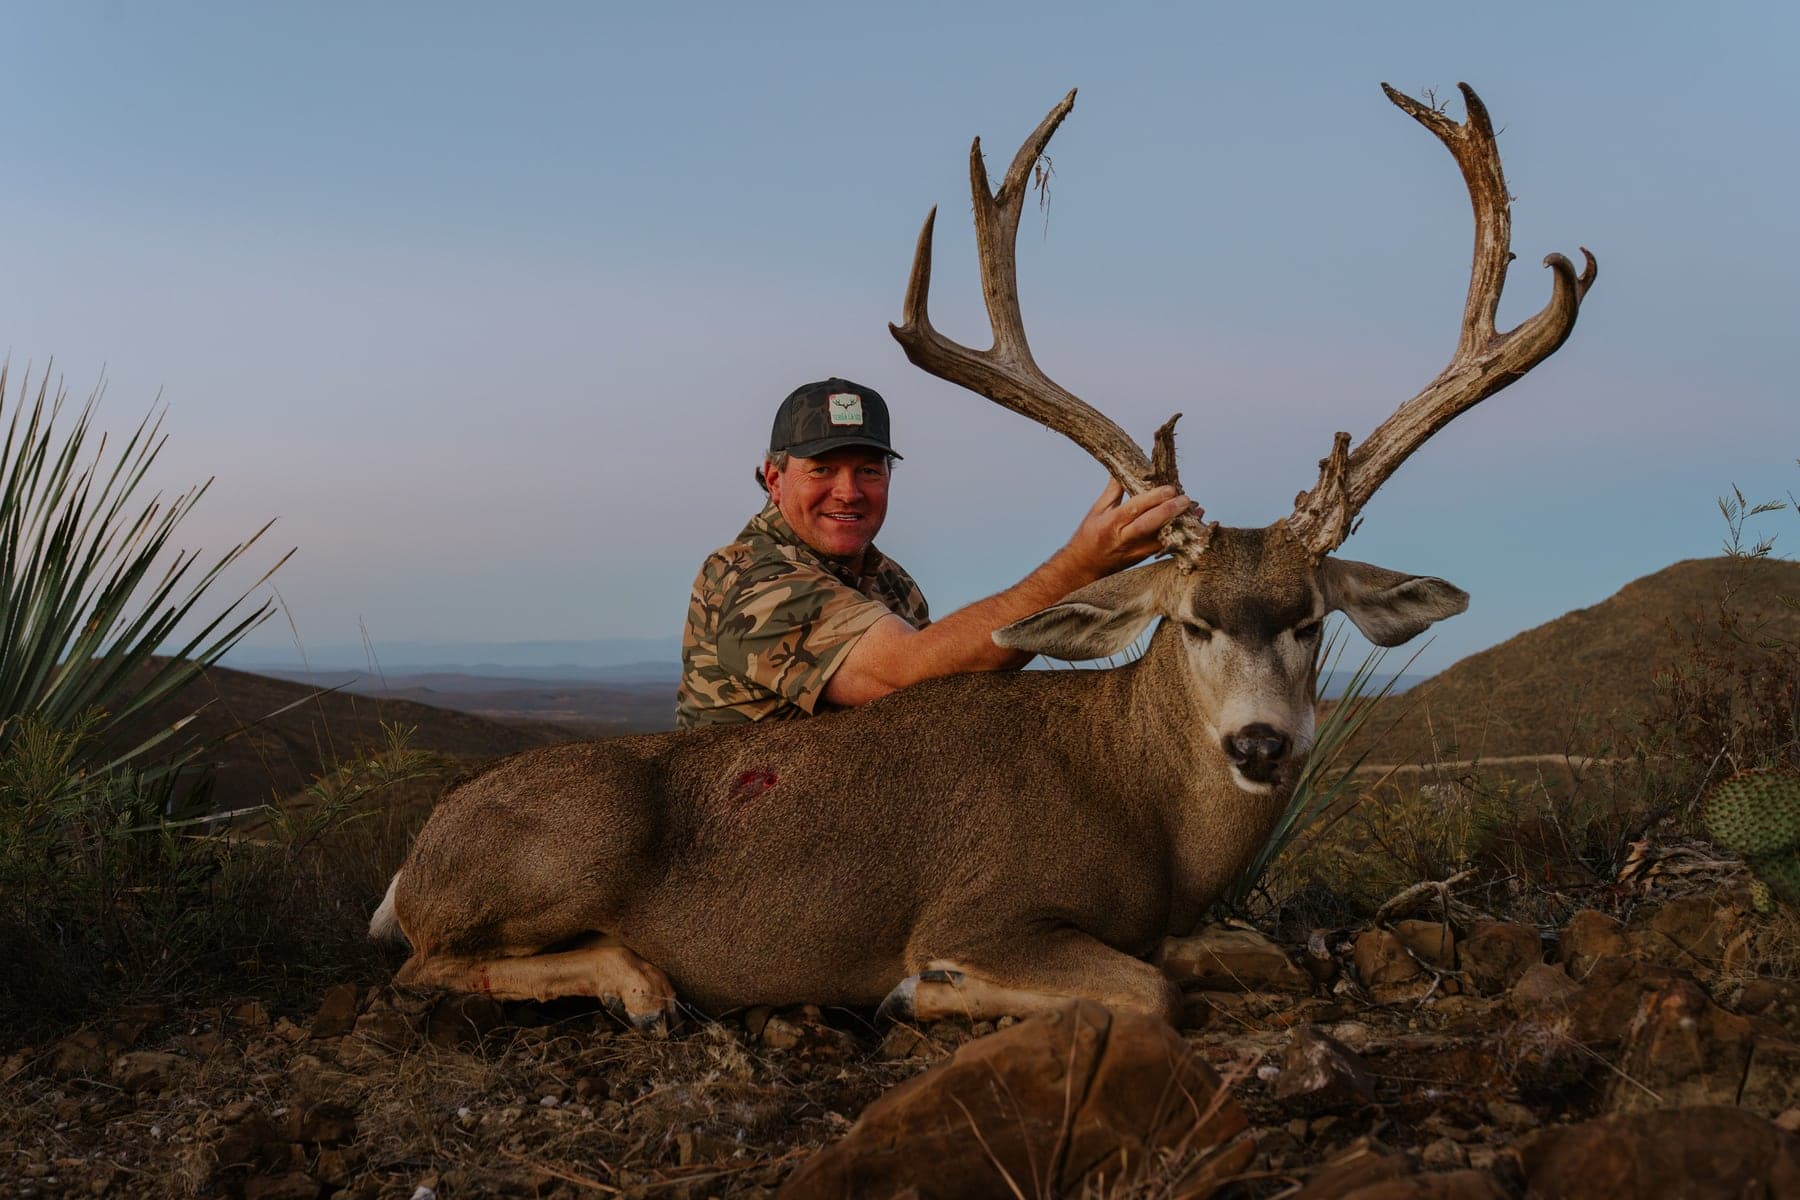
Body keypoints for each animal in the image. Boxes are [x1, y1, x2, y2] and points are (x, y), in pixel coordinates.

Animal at [370, 83, 1594, 1033]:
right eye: (1190, 619)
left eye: (1311, 620)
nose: (1260, 744)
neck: (1143, 812)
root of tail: (411, 859)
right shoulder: (985, 904)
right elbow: (1142, 992)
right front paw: (928, 991)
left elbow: (1253, 959)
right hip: (573, 842)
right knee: (423, 963)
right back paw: (639, 983)